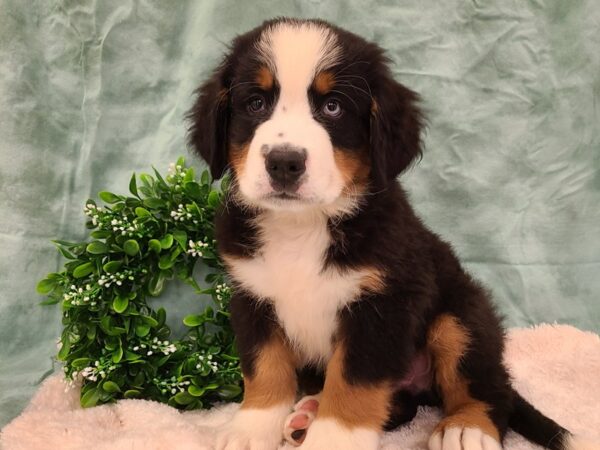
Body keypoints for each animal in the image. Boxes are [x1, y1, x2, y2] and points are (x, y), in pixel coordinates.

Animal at [189, 17, 596, 450]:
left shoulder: (382, 306)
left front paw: (331, 441)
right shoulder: (253, 297)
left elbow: (352, 386)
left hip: (461, 316)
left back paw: (465, 427)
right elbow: (265, 370)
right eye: (255, 104)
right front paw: (251, 431)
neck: (304, 225)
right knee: (400, 406)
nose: (284, 162)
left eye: (333, 106)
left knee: (487, 385)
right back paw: (308, 414)